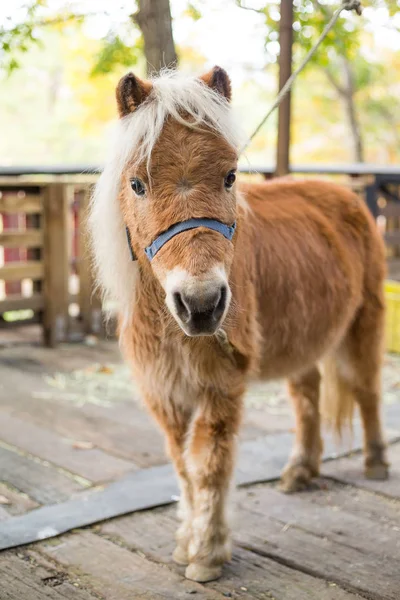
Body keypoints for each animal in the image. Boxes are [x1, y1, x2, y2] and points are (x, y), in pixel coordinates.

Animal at [89, 65, 390, 580]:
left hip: (362, 325)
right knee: (307, 397)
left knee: (366, 388)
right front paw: (186, 541)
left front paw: (208, 553)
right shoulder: (164, 392)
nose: (202, 305)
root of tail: (341, 194)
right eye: (137, 185)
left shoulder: (219, 384)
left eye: (230, 176)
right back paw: (300, 470)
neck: (172, 327)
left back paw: (375, 463)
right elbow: (182, 466)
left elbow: (209, 465)